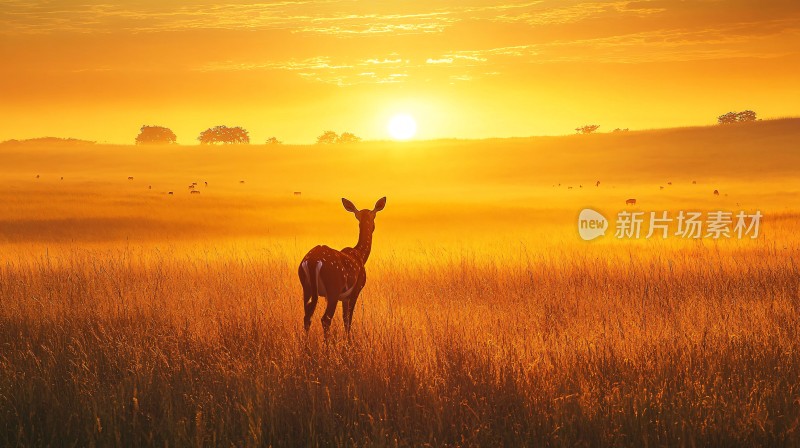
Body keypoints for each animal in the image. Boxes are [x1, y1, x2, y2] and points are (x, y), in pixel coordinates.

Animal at [300, 196, 388, 336]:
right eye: (374, 216)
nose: (373, 226)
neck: (360, 255)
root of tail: (313, 261)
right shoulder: (355, 290)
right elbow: (348, 320)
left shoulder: (344, 298)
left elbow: (344, 319)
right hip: (333, 288)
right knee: (325, 319)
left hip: (306, 287)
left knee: (307, 317)